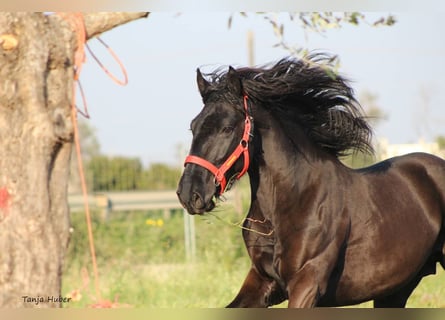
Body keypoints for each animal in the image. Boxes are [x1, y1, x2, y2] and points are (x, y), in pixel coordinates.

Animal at [175, 54, 442, 308]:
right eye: (193, 126)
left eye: (227, 128)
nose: (189, 193)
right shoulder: (263, 281)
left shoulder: (307, 283)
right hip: (394, 289)